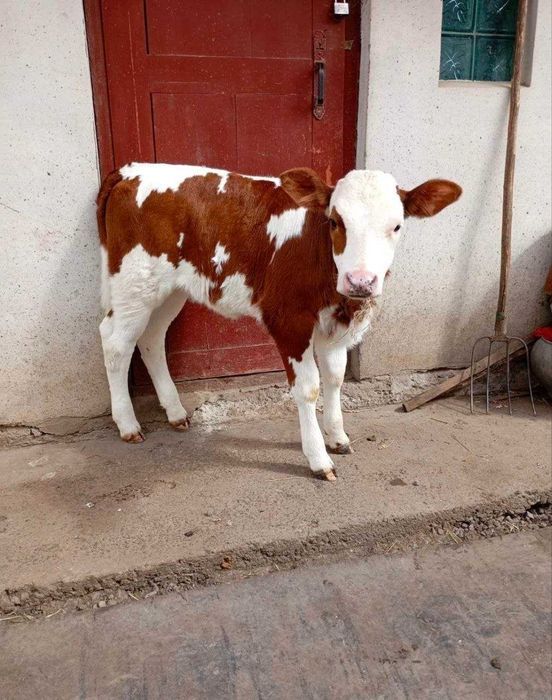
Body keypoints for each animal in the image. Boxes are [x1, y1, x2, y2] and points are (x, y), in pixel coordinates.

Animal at [97, 164, 461, 480]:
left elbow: (335, 378)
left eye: (397, 226)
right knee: (116, 343)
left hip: (170, 288)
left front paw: (337, 436)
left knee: (151, 339)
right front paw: (318, 458)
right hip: (134, 281)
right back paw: (128, 425)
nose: (360, 281)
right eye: (335, 221)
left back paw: (174, 412)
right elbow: (309, 388)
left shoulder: (334, 328)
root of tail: (130, 170)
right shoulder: (289, 321)